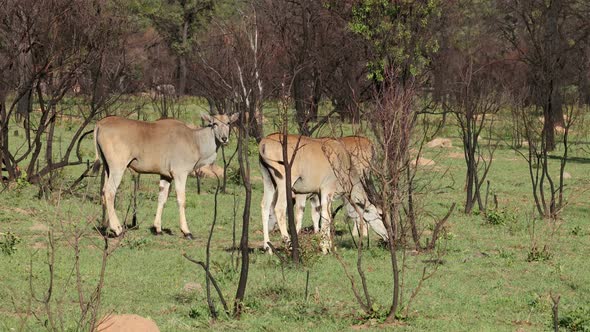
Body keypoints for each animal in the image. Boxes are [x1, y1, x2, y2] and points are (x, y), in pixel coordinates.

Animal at [93, 113, 239, 237]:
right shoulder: (180, 174)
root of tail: (100, 123)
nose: (224, 138)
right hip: (118, 168)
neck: (193, 139)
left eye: (228, 122)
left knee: (103, 191)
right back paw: (117, 229)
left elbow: (162, 198)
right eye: (214, 123)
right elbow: (181, 200)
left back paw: (105, 227)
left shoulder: (166, 176)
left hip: (107, 168)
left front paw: (157, 229)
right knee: (110, 192)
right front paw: (186, 231)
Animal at [260, 134, 388, 253]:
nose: (386, 235)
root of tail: (264, 142)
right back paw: (290, 246)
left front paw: (328, 245)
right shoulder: (324, 191)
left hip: (268, 181)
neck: (342, 161)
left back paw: (268, 247)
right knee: (279, 208)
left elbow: (321, 216)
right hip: (284, 183)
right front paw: (325, 247)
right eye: (379, 215)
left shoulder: (318, 194)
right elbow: (325, 216)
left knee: (265, 206)